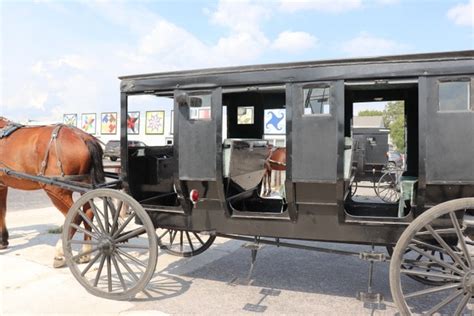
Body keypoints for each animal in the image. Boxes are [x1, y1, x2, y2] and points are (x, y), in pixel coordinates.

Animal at [0, 116, 104, 266]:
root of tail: (82, 136)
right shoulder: (3, 185)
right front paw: (3, 240)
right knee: (88, 213)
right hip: (85, 187)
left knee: (76, 216)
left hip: (56, 190)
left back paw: (60, 253)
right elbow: (2, 211)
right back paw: (85, 253)